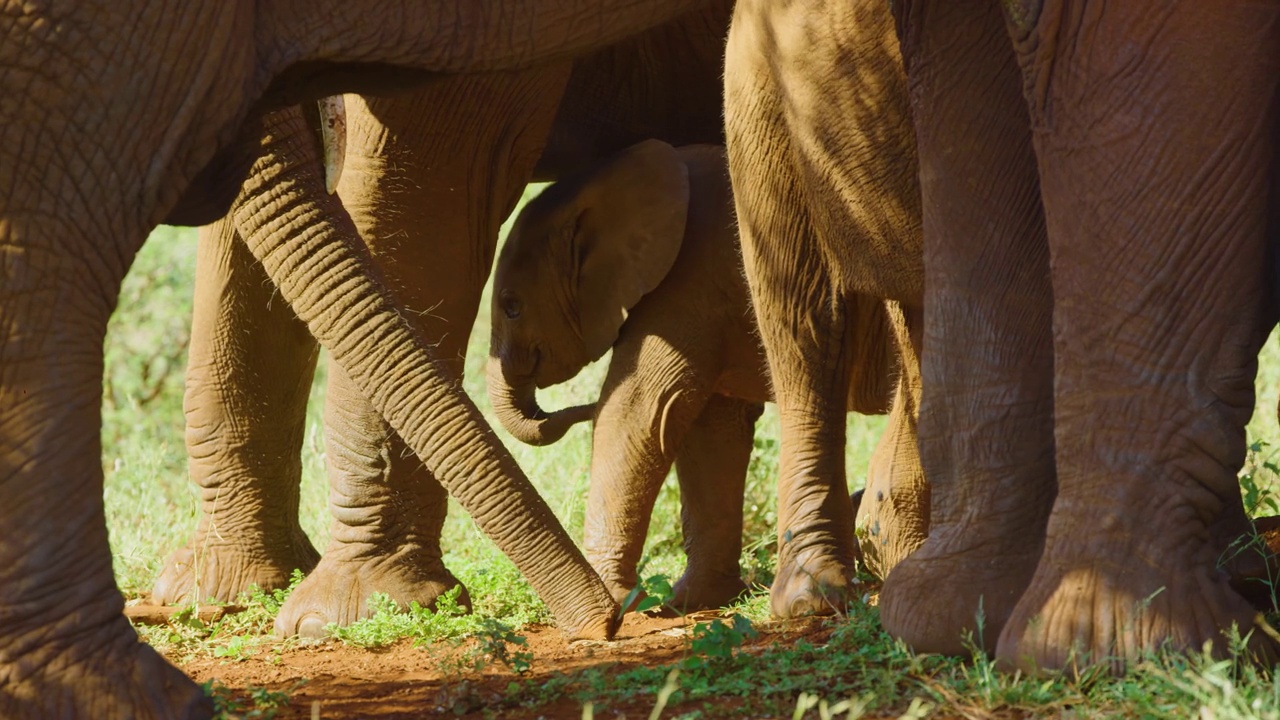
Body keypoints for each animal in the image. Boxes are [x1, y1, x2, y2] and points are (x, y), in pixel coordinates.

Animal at [483, 139, 916, 604]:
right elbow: (711, 431)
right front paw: (693, 601)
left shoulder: (686, 281)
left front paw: (617, 599)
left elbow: (636, 410)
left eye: (512, 306)